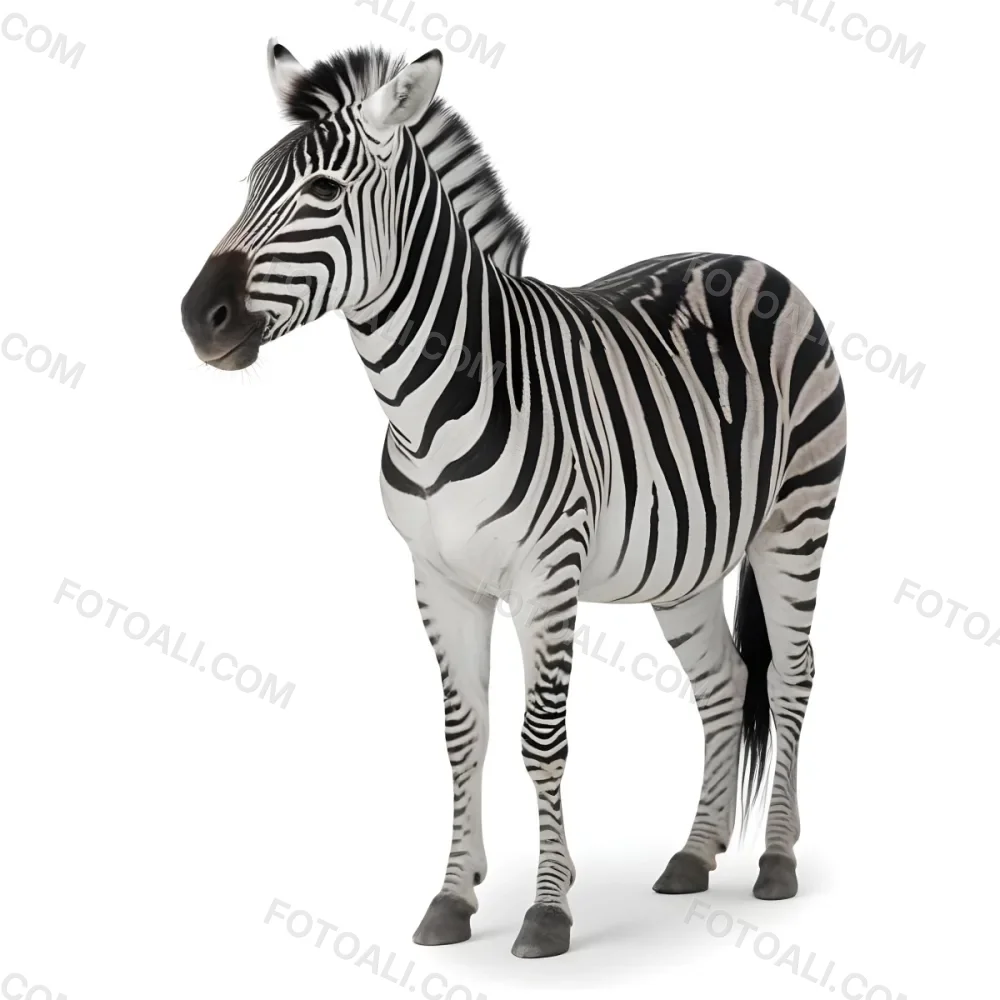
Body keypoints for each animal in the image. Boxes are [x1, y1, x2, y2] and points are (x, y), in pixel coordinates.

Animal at [181, 41, 847, 959]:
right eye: (248, 187)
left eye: (321, 192)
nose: (195, 317)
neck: (423, 406)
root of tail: (750, 261)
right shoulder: (438, 579)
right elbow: (465, 735)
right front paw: (452, 898)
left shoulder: (546, 577)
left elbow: (542, 740)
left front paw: (547, 910)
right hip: (686, 564)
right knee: (723, 680)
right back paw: (694, 853)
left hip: (797, 520)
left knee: (789, 675)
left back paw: (777, 860)